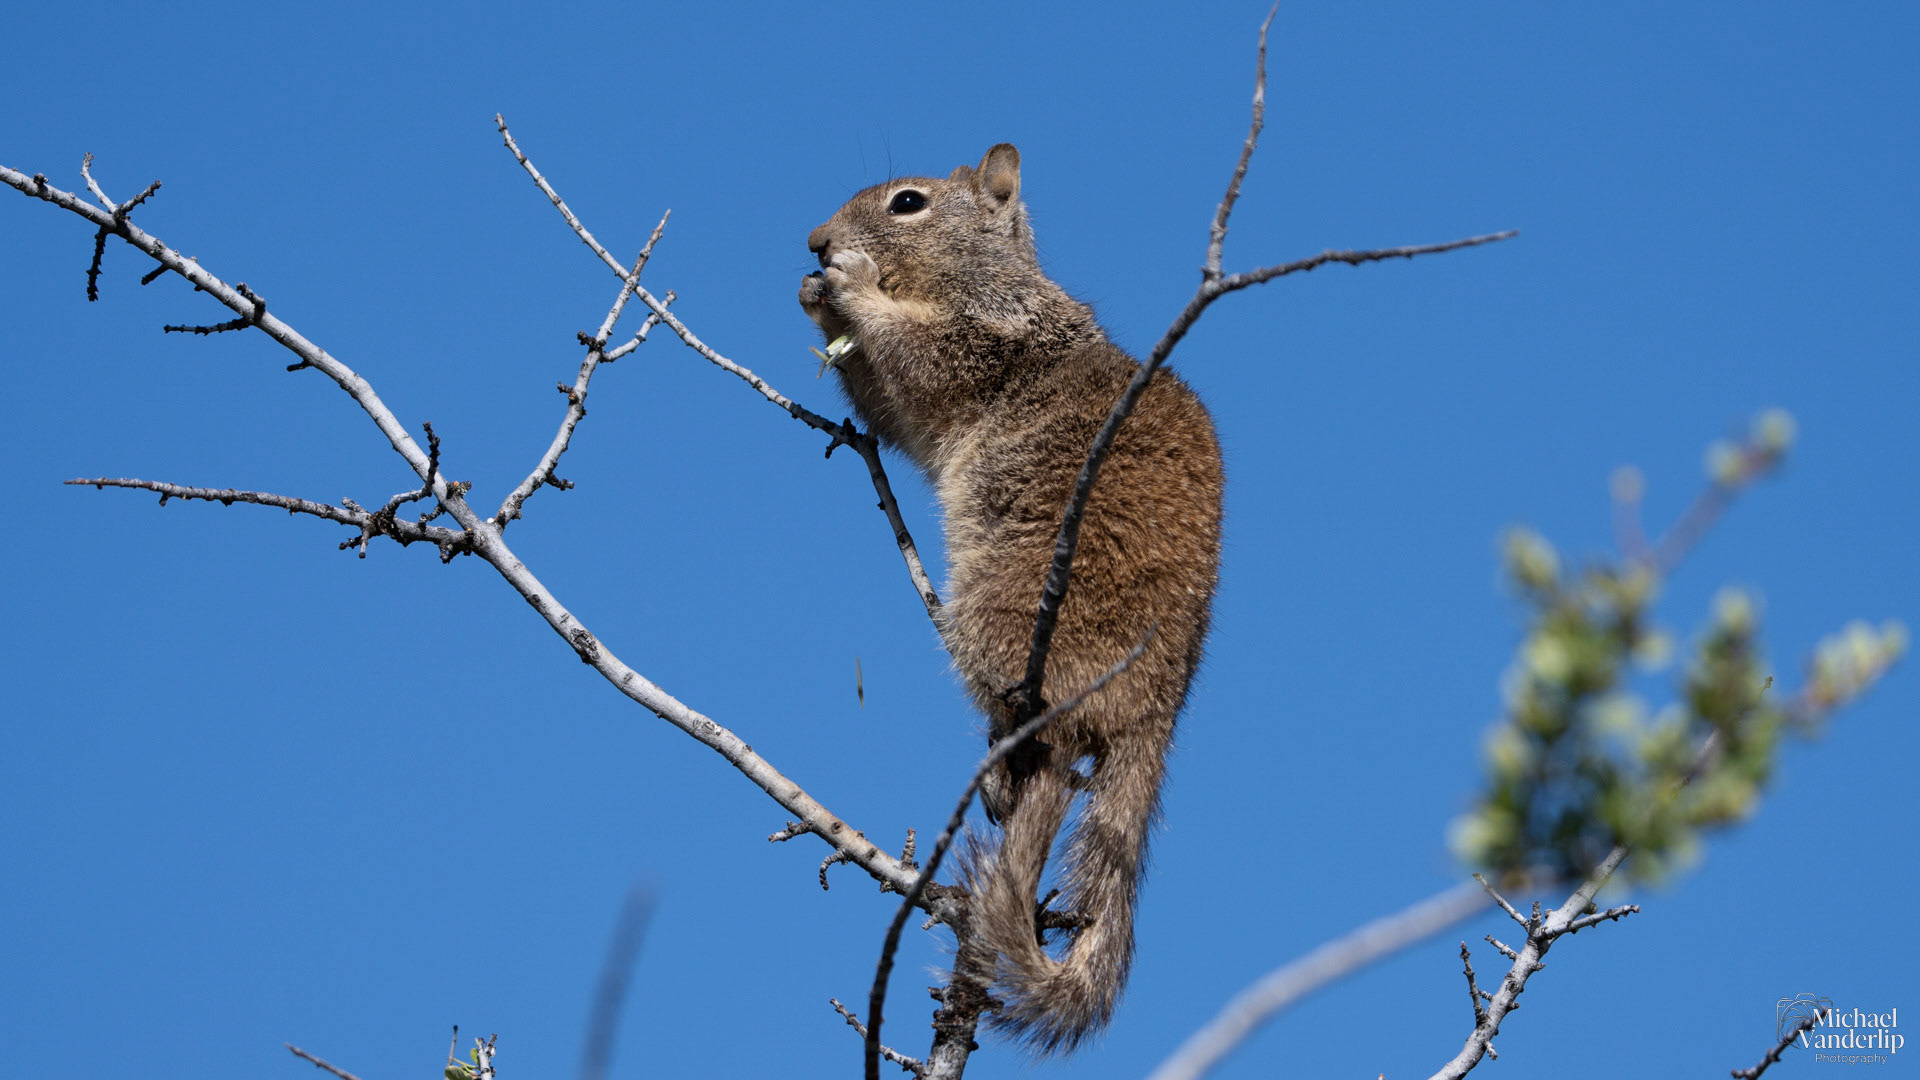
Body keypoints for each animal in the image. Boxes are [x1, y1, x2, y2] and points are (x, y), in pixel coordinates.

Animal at [798, 144, 1223, 1056]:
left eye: (909, 203)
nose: (814, 242)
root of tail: (1156, 702)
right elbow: (886, 407)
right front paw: (814, 295)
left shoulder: (986, 337)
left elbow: (915, 357)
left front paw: (851, 284)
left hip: (1004, 618)